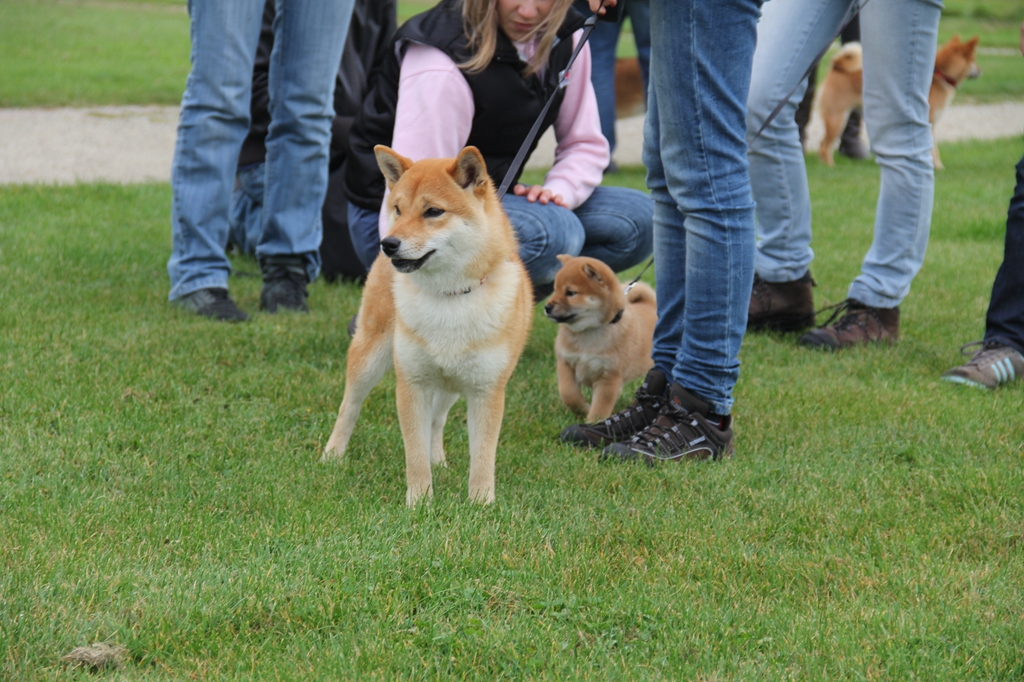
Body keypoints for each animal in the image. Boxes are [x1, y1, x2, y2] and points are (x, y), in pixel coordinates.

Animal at [321, 144, 532, 503]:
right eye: (398, 209)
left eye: (433, 211)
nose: (389, 244)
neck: (450, 298)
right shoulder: (413, 383)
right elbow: (414, 452)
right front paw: (420, 500)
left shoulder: (486, 389)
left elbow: (483, 455)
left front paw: (481, 502)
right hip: (370, 355)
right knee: (349, 406)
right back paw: (332, 455)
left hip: (450, 385)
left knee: (437, 421)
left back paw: (440, 460)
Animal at [544, 253, 655, 421]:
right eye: (555, 290)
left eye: (570, 293)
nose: (547, 307)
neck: (589, 332)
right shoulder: (566, 363)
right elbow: (568, 393)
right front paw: (583, 409)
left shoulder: (609, 377)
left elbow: (600, 408)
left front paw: (591, 422)